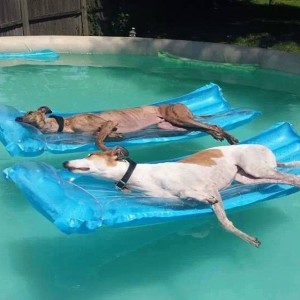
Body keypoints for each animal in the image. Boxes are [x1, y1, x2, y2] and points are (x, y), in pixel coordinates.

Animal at [62, 145, 300, 246]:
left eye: (90, 154)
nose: (64, 163)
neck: (142, 175)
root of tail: (266, 148)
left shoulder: (210, 188)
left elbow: (221, 220)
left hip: (256, 168)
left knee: (292, 177)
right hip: (247, 177)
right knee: (283, 179)